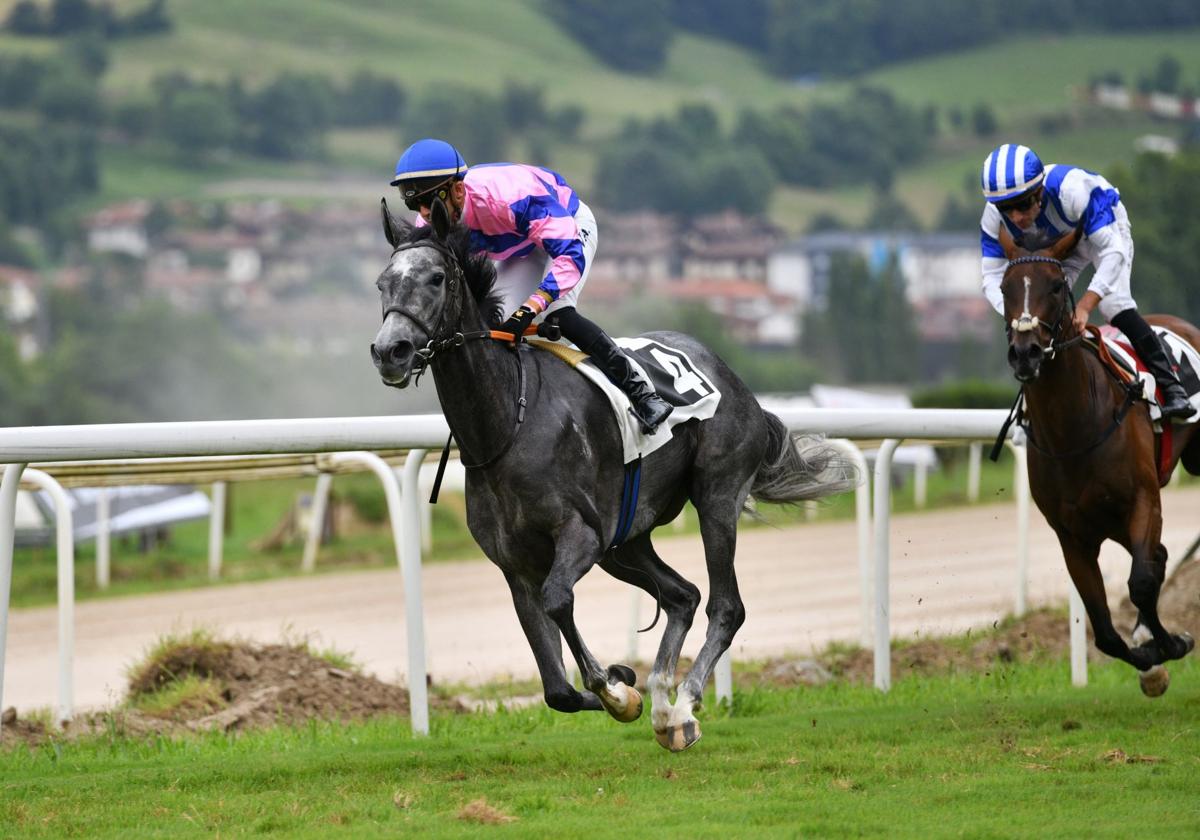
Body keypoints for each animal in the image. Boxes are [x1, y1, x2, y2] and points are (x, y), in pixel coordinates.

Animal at [369, 200, 859, 753]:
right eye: (383, 282)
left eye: (435, 278)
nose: (390, 351)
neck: (507, 423)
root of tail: (736, 381)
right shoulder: (516, 566)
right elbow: (557, 690)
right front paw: (626, 686)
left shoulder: (579, 534)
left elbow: (559, 601)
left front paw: (616, 688)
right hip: (624, 541)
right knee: (683, 595)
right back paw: (665, 707)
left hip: (714, 498)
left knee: (725, 606)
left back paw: (685, 705)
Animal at [998, 223, 1195, 696]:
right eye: (1004, 288)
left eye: (1056, 285)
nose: (1026, 352)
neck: (1074, 428)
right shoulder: (1072, 534)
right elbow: (1104, 629)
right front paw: (1150, 660)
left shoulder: (1143, 502)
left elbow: (1141, 581)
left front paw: (1168, 645)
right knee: (1159, 556)